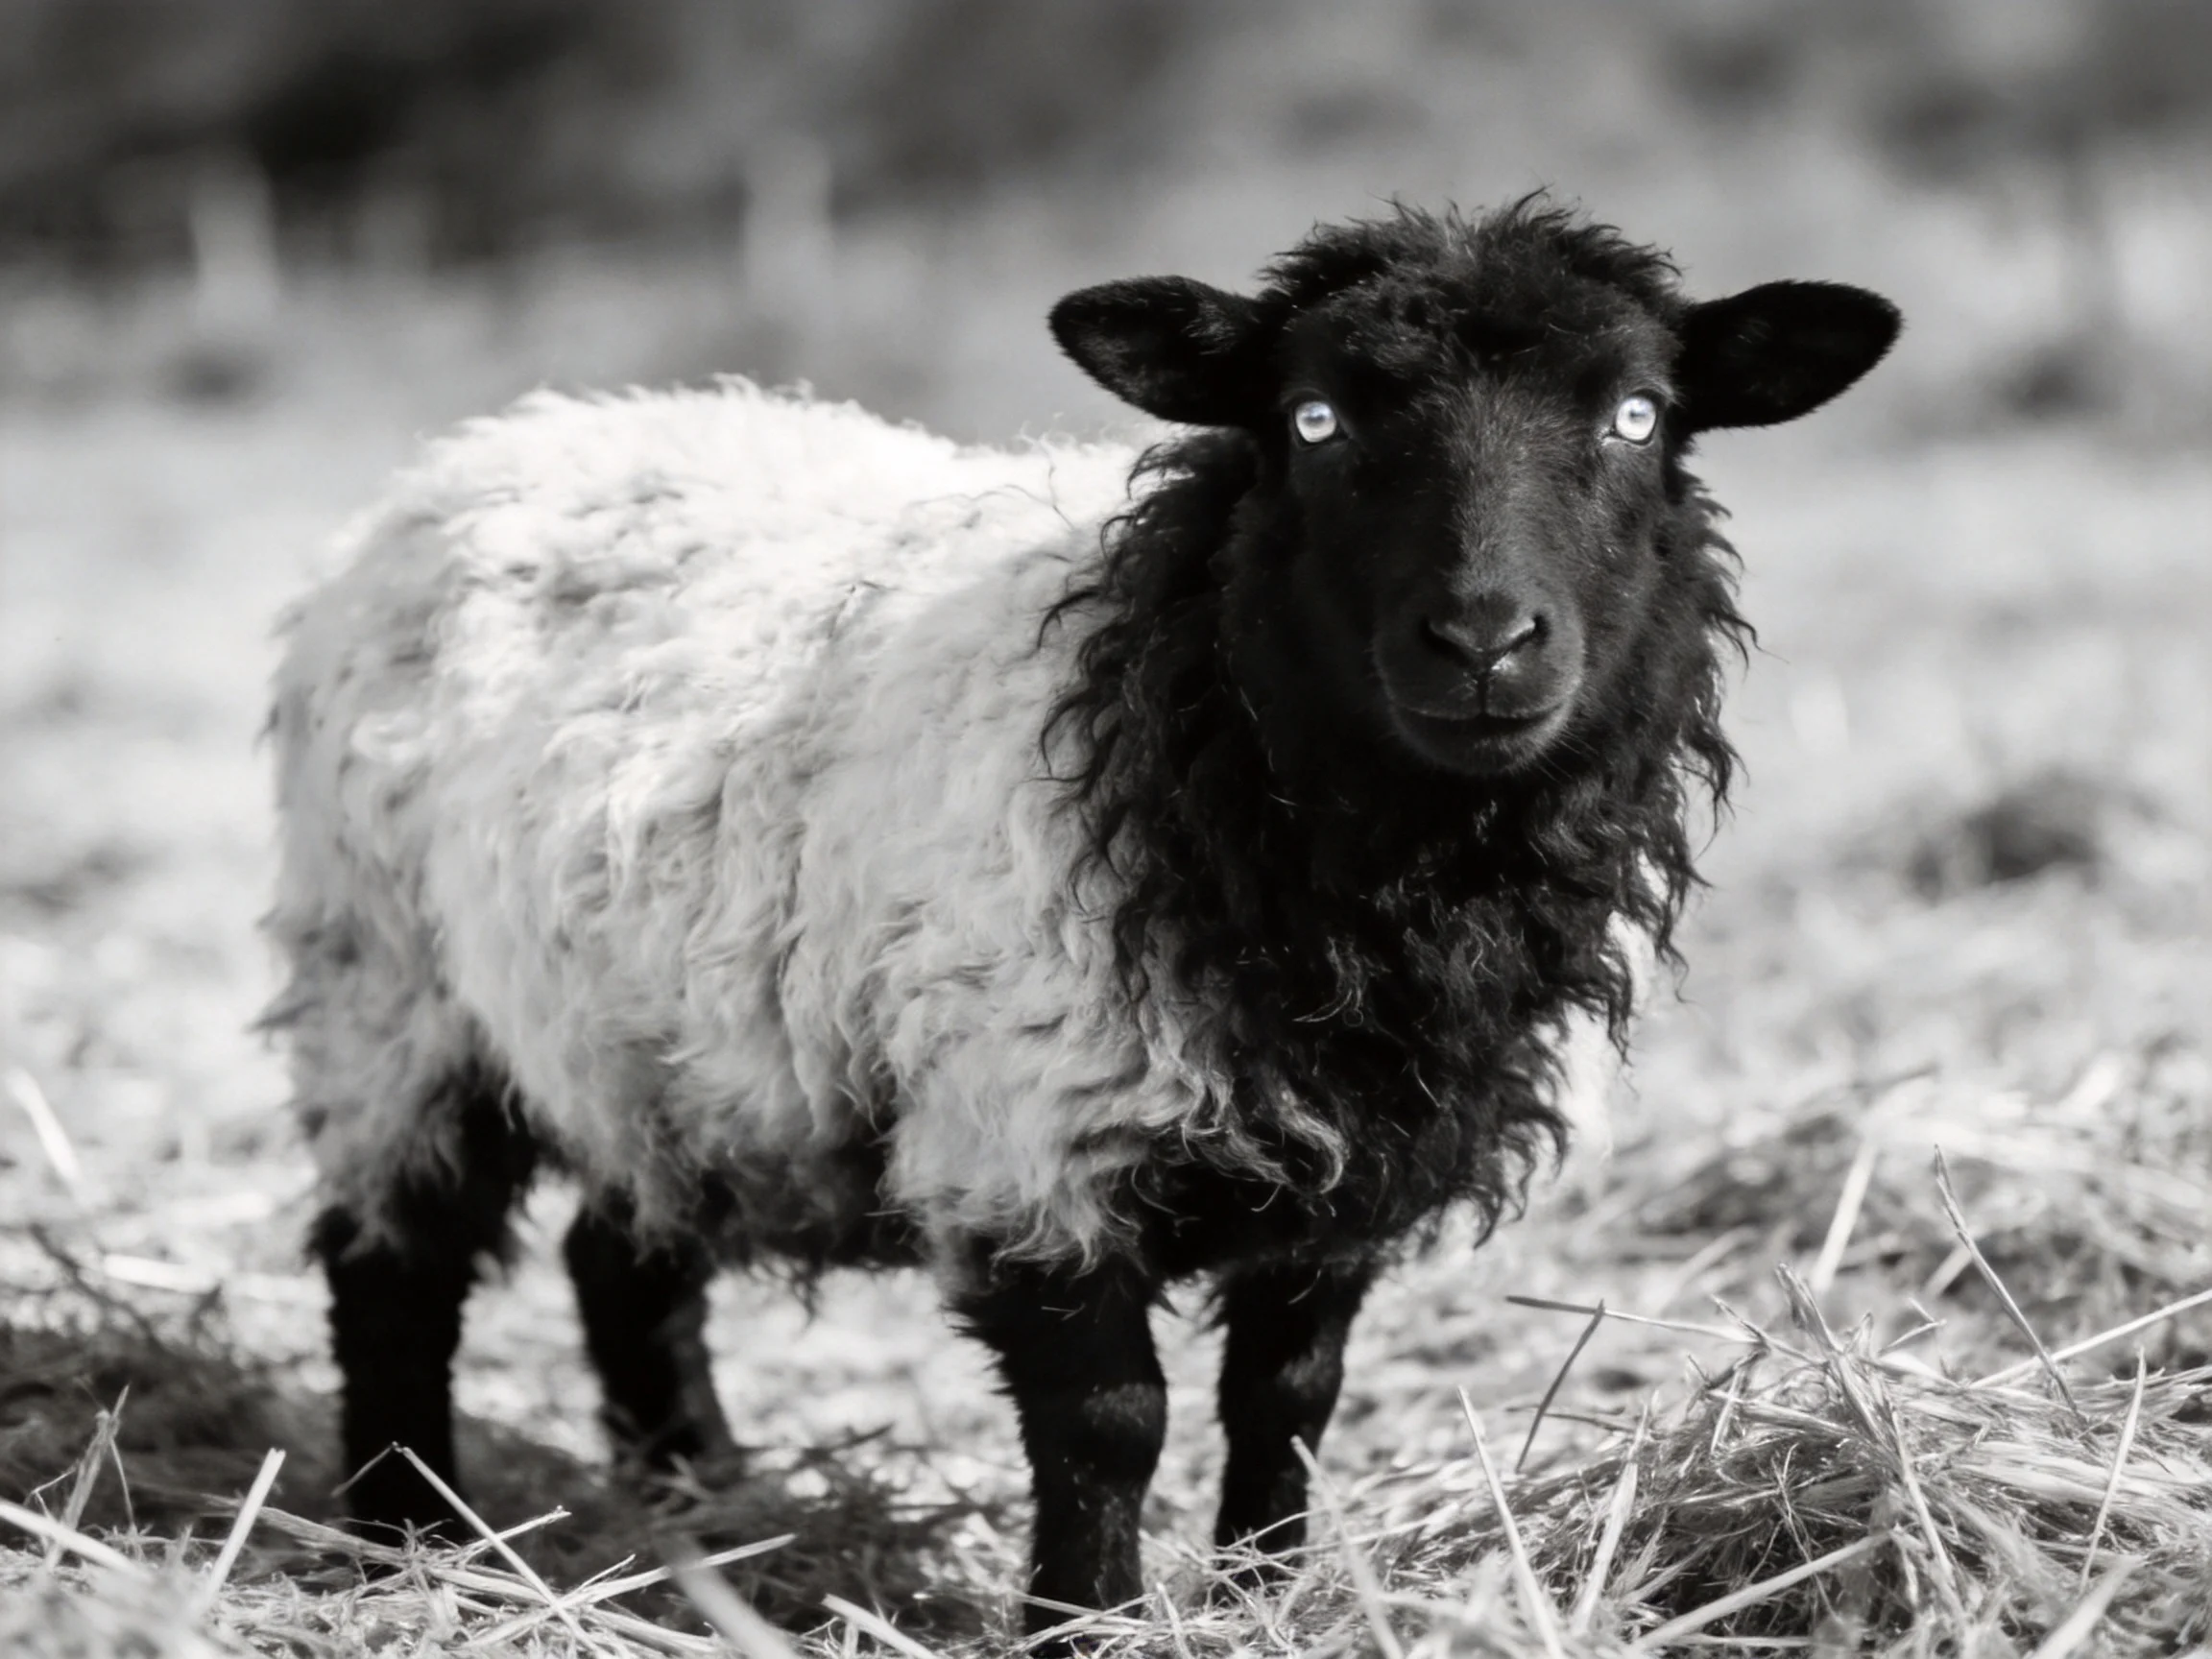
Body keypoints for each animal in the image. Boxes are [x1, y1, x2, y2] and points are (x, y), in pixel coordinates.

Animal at [265, 198, 1899, 1639]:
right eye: (1313, 421)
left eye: (1637, 416)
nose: (1485, 643)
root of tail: (518, 431)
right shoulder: (1032, 1128)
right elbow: (1113, 1421)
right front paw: (1085, 1621)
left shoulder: (1355, 1151)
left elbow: (1287, 1403)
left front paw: (1262, 1600)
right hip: (387, 985)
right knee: (390, 1265)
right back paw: (404, 1531)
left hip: (653, 1028)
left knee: (627, 1254)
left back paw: (702, 1496)